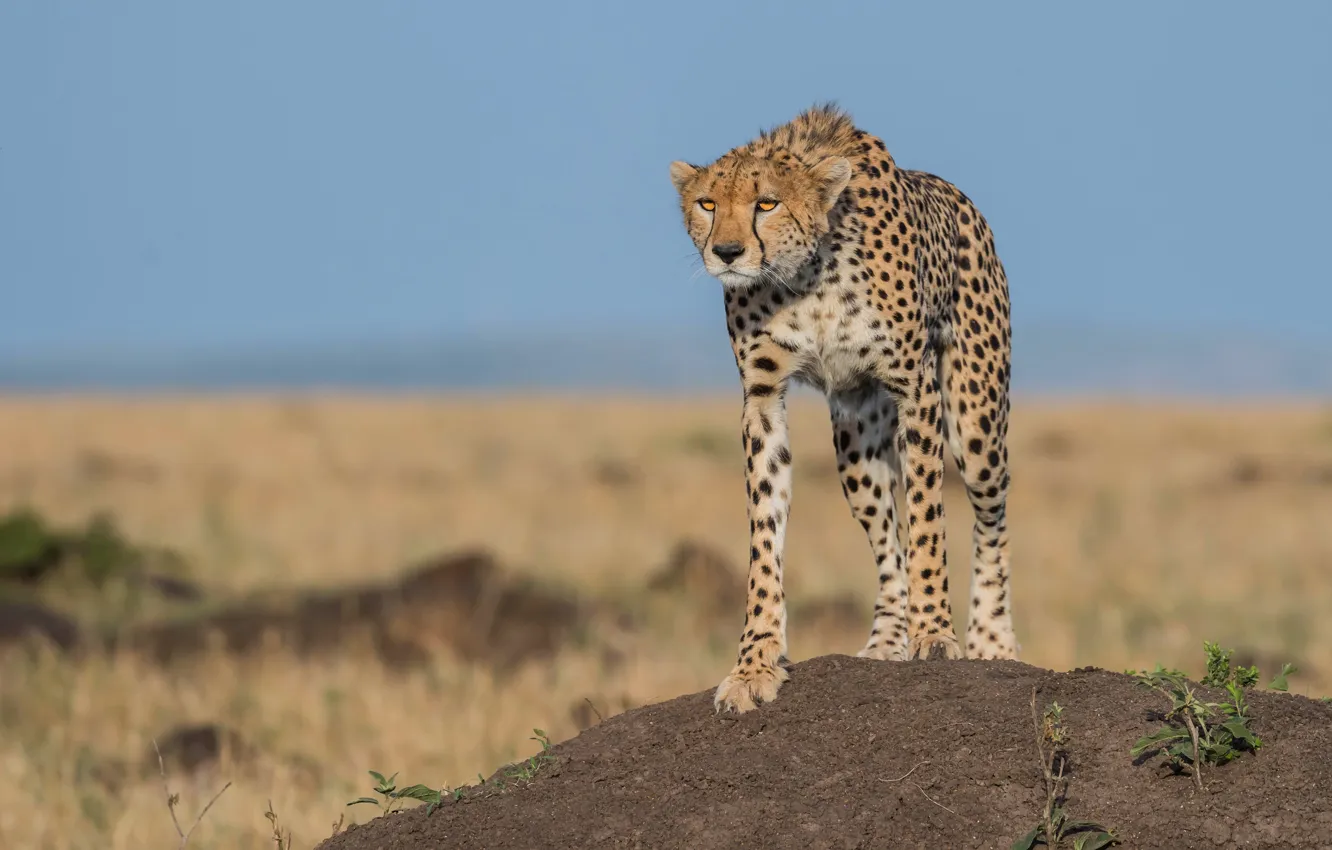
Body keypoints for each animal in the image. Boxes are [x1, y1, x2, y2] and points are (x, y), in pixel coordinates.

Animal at [669, 102, 1020, 714]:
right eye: (708, 204)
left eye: (767, 203)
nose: (727, 253)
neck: (806, 273)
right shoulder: (763, 398)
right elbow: (766, 533)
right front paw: (755, 663)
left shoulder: (916, 388)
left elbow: (927, 518)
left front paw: (936, 633)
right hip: (855, 442)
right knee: (885, 538)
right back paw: (886, 641)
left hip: (977, 424)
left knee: (990, 516)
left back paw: (992, 640)